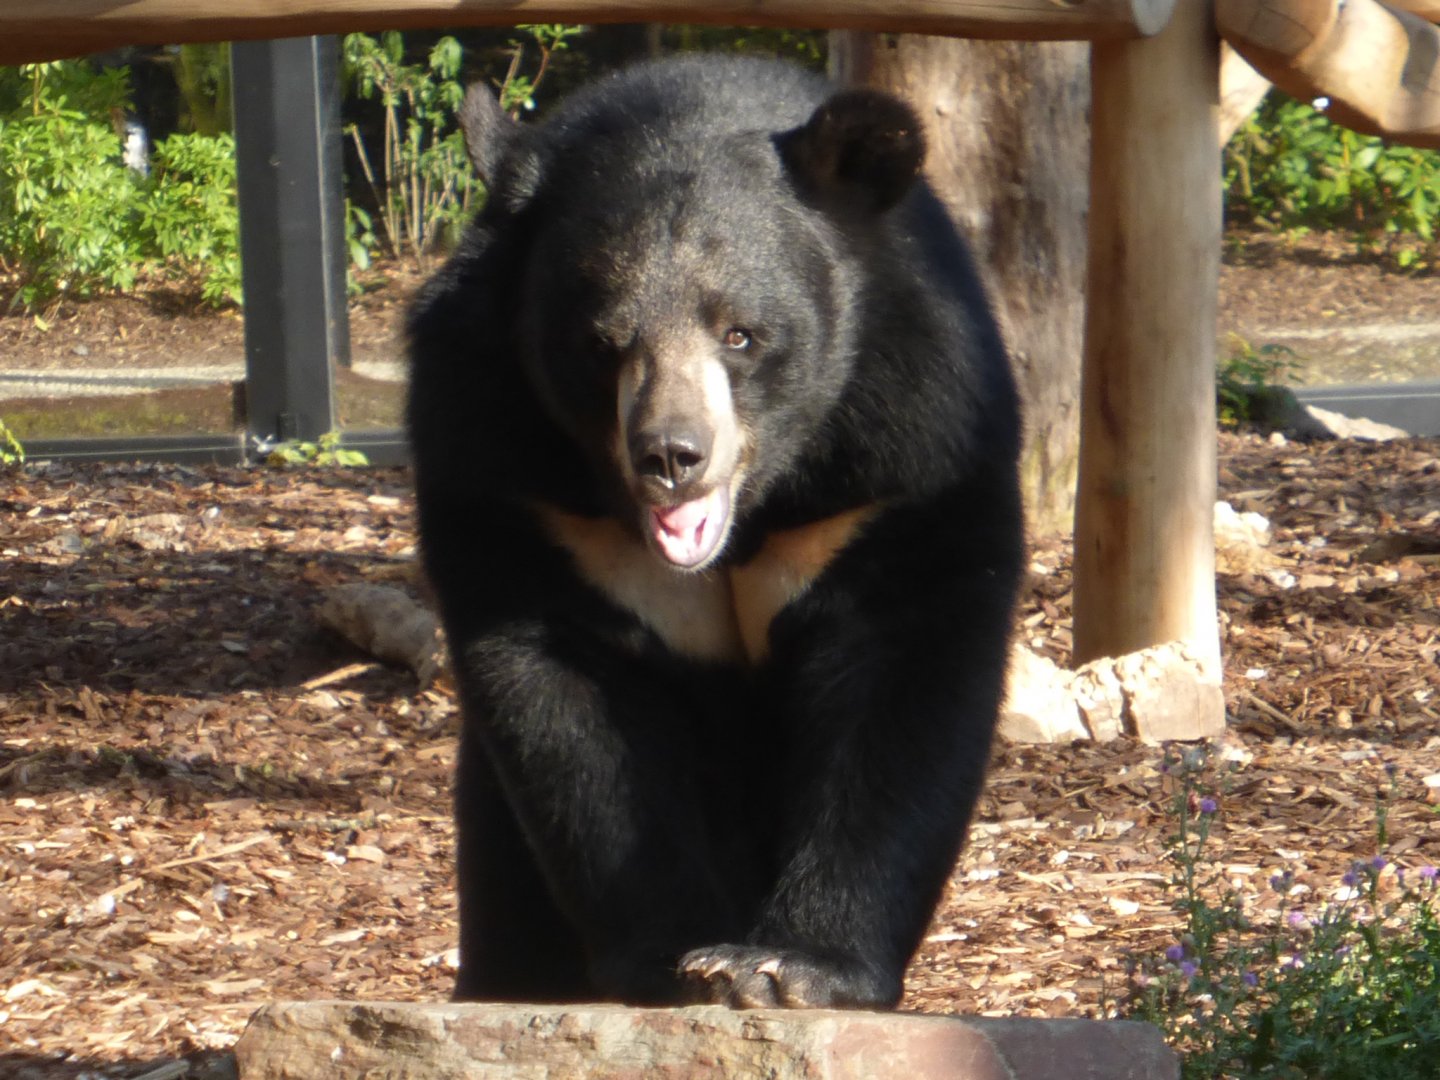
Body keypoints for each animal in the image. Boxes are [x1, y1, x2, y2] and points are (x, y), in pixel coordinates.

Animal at [406, 53, 1024, 1010]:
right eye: (603, 344)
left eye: (741, 334)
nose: (671, 455)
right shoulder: (508, 475)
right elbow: (575, 709)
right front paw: (678, 959)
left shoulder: (906, 451)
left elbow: (901, 671)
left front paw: (787, 967)